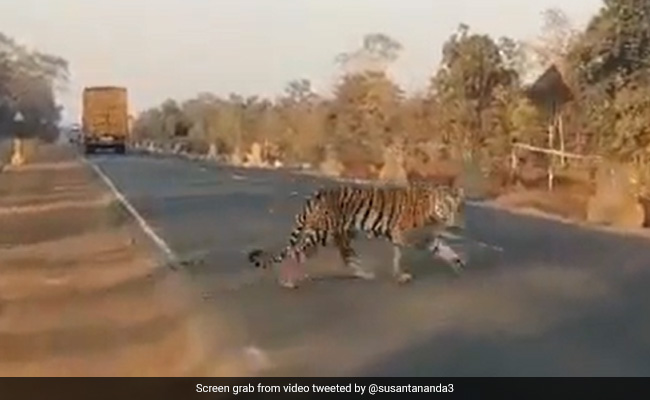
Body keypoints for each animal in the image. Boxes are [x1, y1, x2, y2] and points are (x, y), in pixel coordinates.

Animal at [247, 181, 467, 288]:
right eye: (448, 206)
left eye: (460, 208)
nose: (457, 224)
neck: (433, 209)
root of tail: (316, 196)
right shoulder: (405, 235)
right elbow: (403, 253)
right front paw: (401, 275)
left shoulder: (420, 237)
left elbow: (443, 248)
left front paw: (459, 263)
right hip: (320, 233)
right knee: (297, 252)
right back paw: (288, 282)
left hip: (338, 235)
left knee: (344, 257)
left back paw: (366, 274)